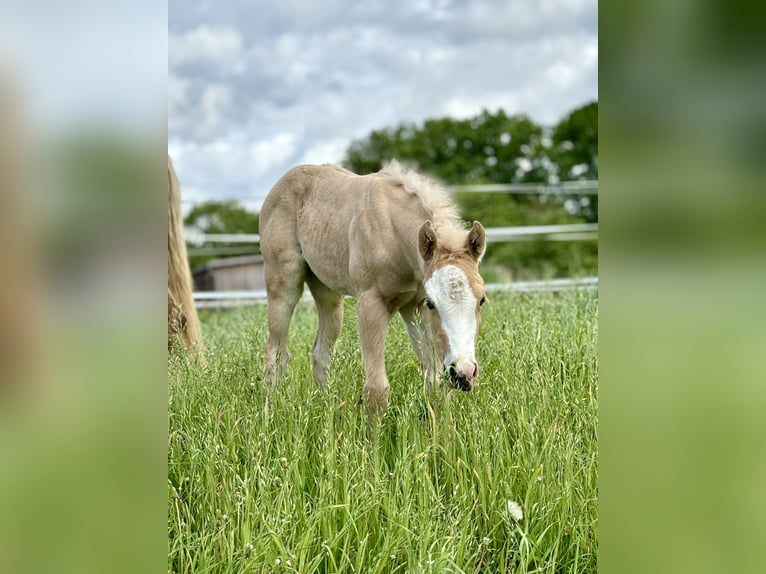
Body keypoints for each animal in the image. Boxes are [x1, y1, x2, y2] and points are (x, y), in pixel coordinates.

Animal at [258, 162, 486, 418]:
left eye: (482, 300)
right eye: (432, 302)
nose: (463, 374)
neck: (394, 235)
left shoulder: (413, 306)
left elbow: (434, 381)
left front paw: (439, 428)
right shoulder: (371, 302)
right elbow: (377, 390)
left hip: (328, 294)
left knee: (320, 353)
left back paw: (326, 410)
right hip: (283, 286)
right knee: (275, 351)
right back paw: (271, 410)